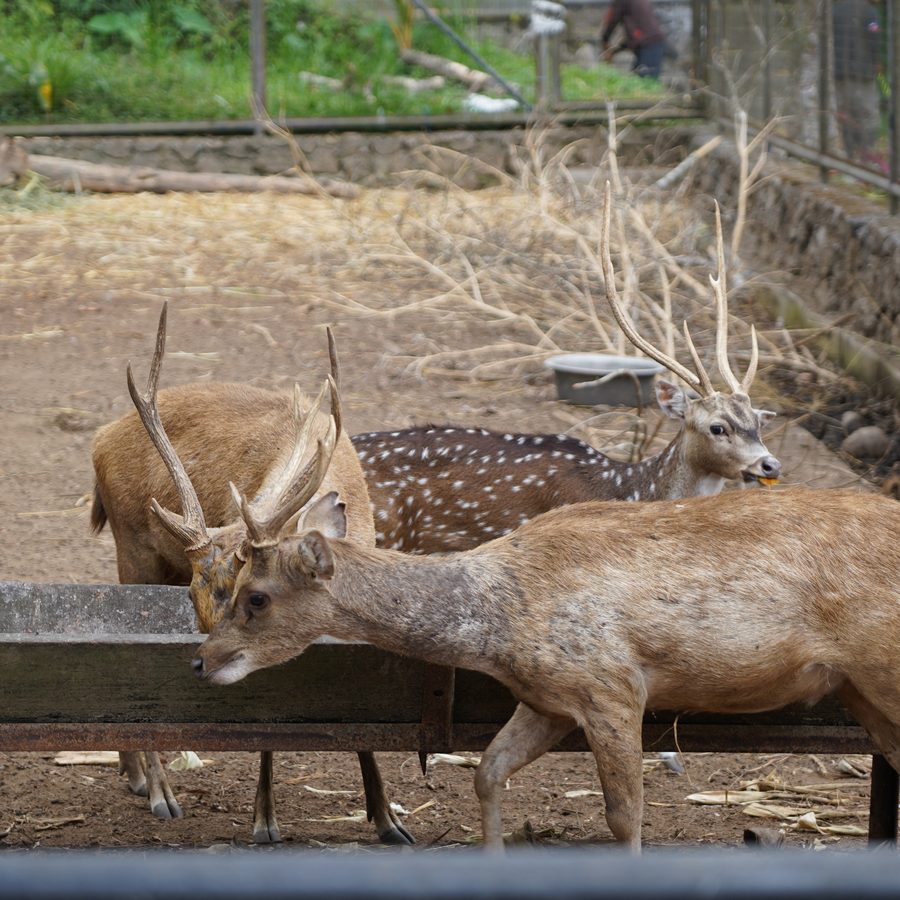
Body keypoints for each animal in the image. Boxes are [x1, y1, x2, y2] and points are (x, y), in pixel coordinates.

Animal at [90, 305, 412, 846]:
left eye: (256, 598)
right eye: (196, 604)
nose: (208, 665)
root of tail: (98, 441)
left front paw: (389, 819)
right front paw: (263, 821)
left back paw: (132, 774)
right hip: (133, 550)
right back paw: (160, 793)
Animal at [192, 394, 900, 851]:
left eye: (255, 597)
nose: (200, 659)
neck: (499, 621)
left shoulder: (614, 687)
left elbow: (626, 818)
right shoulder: (548, 700)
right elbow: (487, 772)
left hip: (882, 669)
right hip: (861, 690)